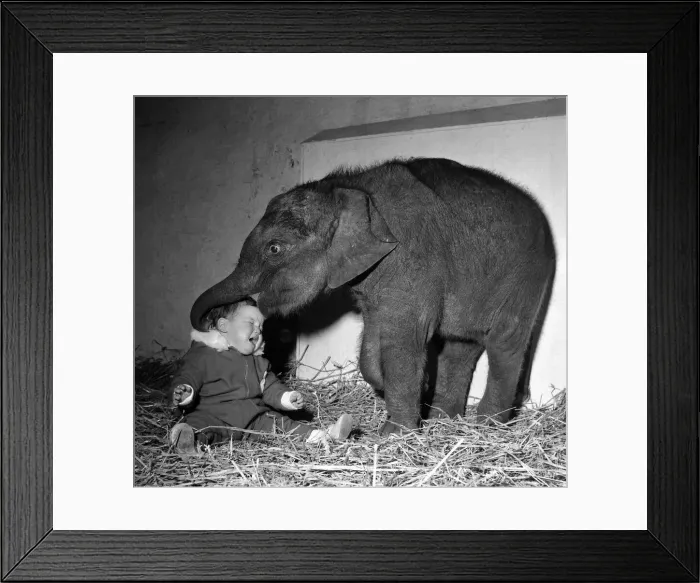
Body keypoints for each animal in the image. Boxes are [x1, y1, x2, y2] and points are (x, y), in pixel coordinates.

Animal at [190, 157, 556, 435]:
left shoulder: (413, 261)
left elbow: (404, 340)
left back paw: (488, 427)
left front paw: (396, 434)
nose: (208, 321)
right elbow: (374, 337)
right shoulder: (373, 277)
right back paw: (445, 421)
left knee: (505, 342)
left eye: (275, 249)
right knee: (461, 348)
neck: (350, 188)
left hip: (527, 276)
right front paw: (406, 391)